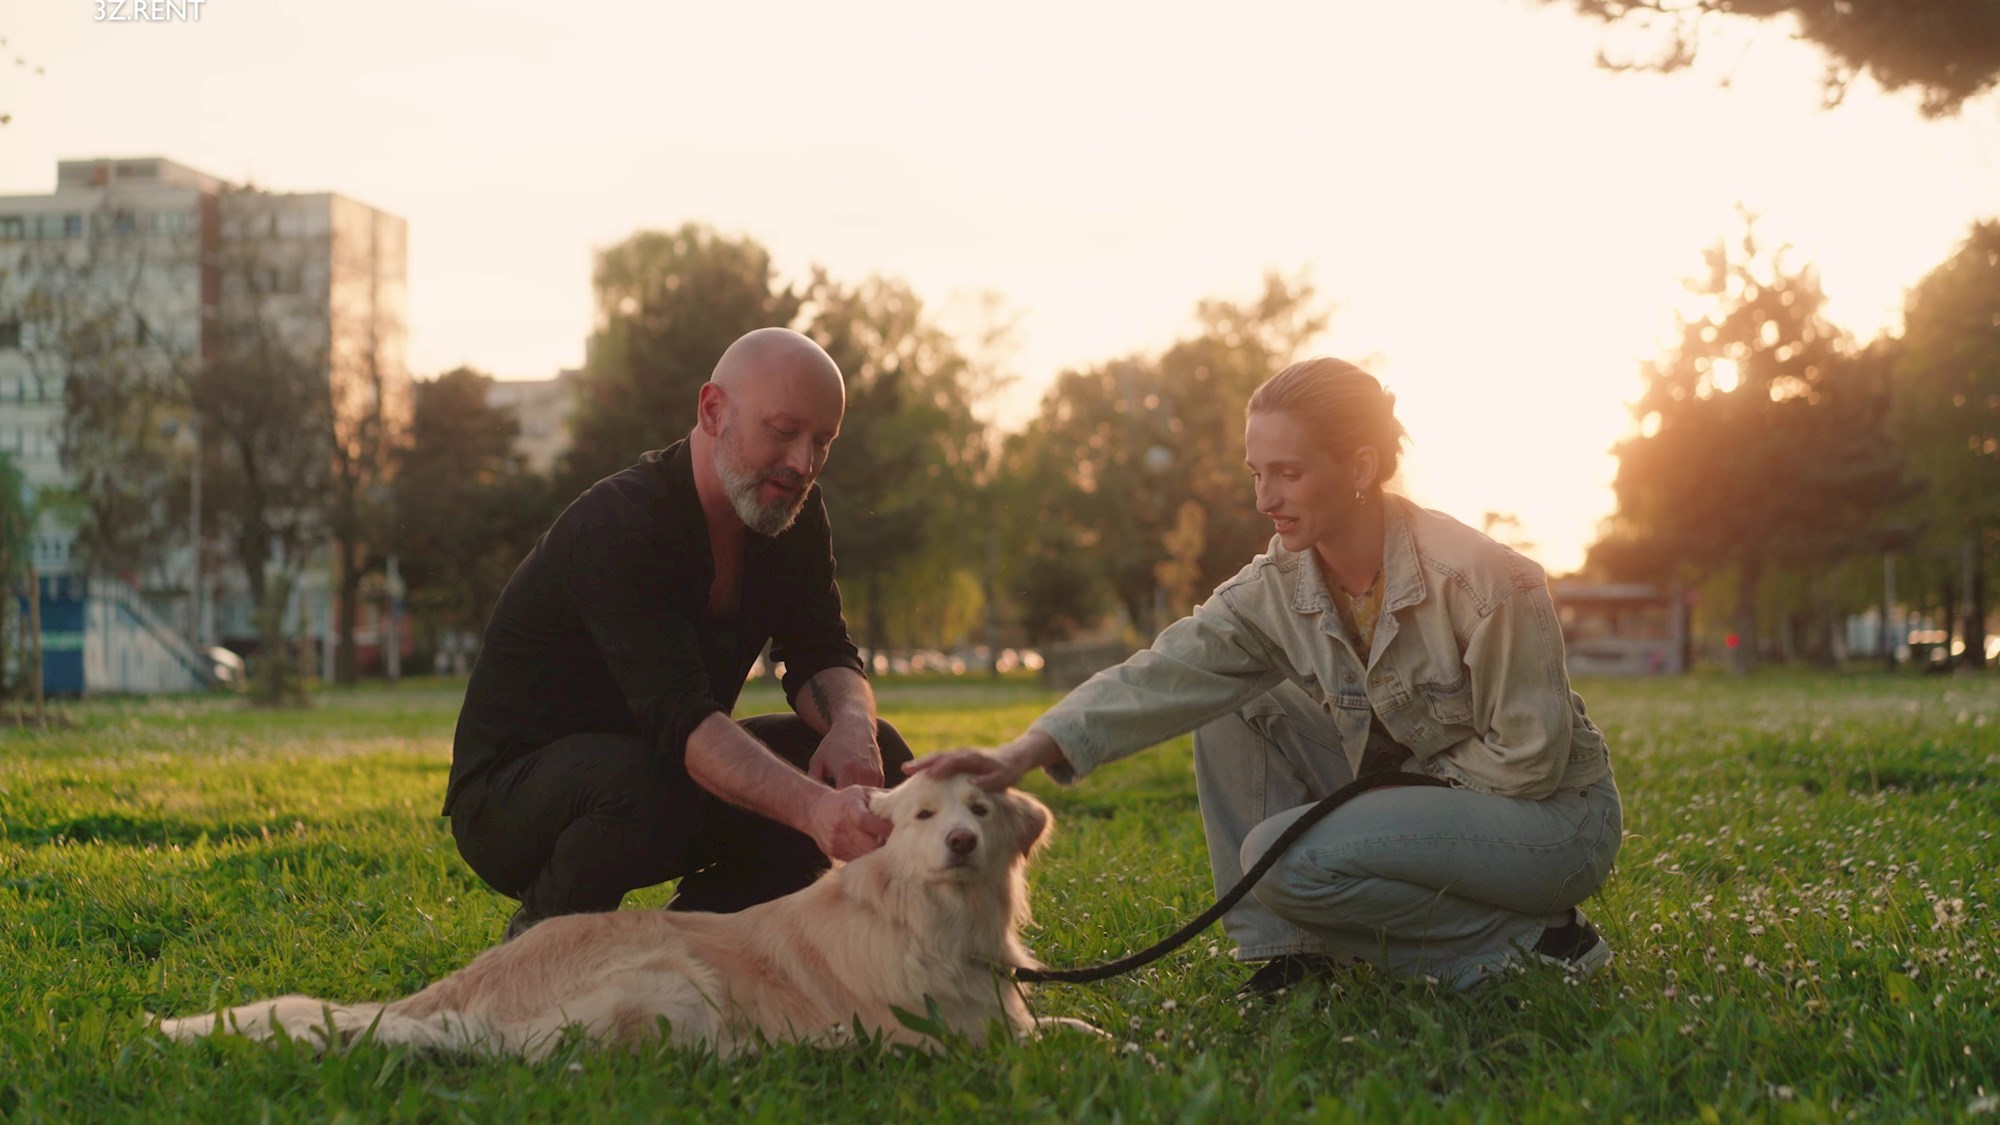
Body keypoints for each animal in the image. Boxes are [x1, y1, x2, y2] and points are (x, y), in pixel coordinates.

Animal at [156, 768, 1104, 1048]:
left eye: (978, 809)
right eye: (921, 817)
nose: (962, 843)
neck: (930, 923)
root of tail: (471, 982)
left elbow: (1076, 1027)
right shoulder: (946, 1036)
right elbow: (1020, 1044)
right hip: (677, 977)